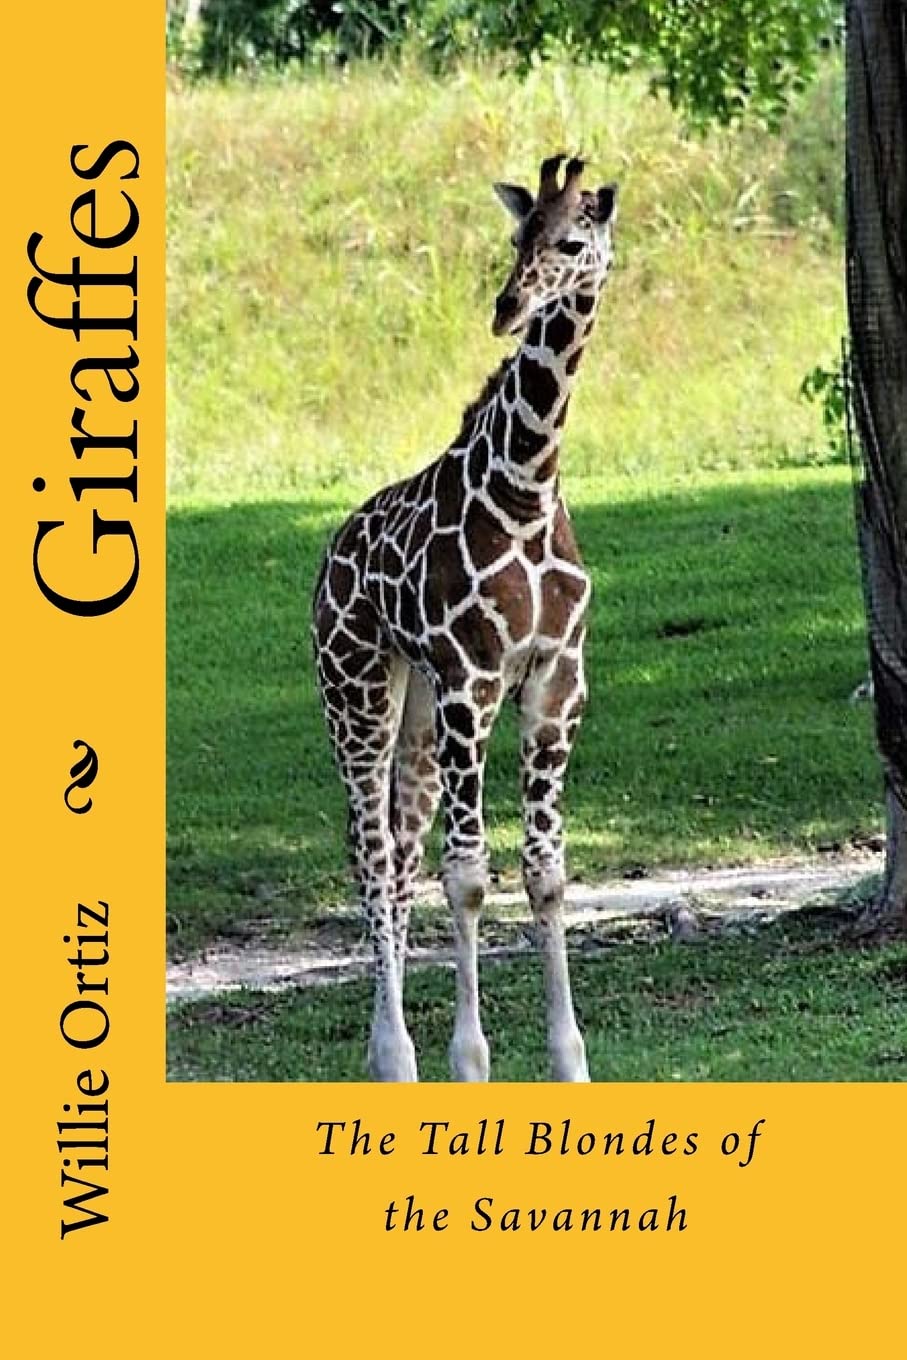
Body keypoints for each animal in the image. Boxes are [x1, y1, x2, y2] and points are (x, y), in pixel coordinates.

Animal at [313, 153, 618, 1082]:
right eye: (517, 237)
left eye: (572, 241)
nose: (506, 308)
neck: (523, 488)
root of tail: (329, 558)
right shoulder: (469, 684)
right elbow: (470, 876)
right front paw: (469, 1060)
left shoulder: (556, 683)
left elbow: (545, 872)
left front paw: (568, 1060)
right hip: (358, 695)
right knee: (373, 858)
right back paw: (394, 1057)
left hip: (412, 714)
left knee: (399, 858)